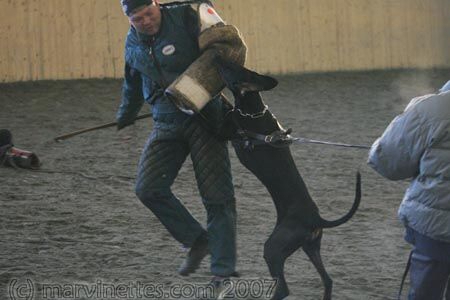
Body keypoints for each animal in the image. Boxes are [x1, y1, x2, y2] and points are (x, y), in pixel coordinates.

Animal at [215, 59, 362, 300]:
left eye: (231, 68)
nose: (216, 58)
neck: (254, 111)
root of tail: (317, 219)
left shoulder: (228, 131)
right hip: (310, 247)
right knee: (328, 280)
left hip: (274, 247)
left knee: (283, 288)